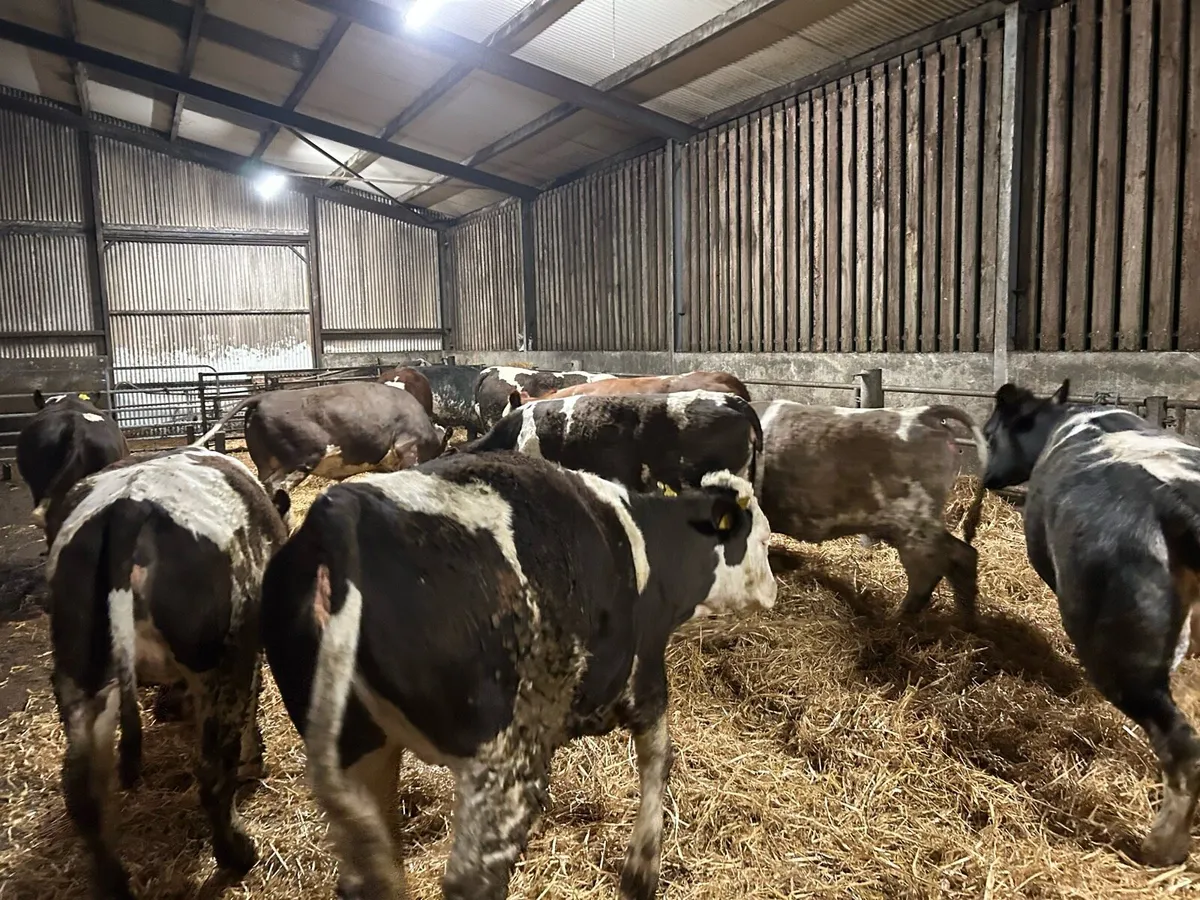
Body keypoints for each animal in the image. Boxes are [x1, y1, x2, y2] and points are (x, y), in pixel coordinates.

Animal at [42, 447, 290, 898]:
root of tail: (127, 510)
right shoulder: (248, 650)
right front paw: (254, 759)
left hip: (79, 673)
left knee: (83, 790)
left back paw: (114, 885)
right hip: (219, 662)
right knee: (212, 771)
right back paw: (237, 853)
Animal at [259, 451, 777, 899]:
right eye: (764, 540)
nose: (773, 589)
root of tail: (340, 510)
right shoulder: (644, 677)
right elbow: (659, 760)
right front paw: (641, 872)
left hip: (363, 748)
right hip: (500, 764)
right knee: (472, 880)